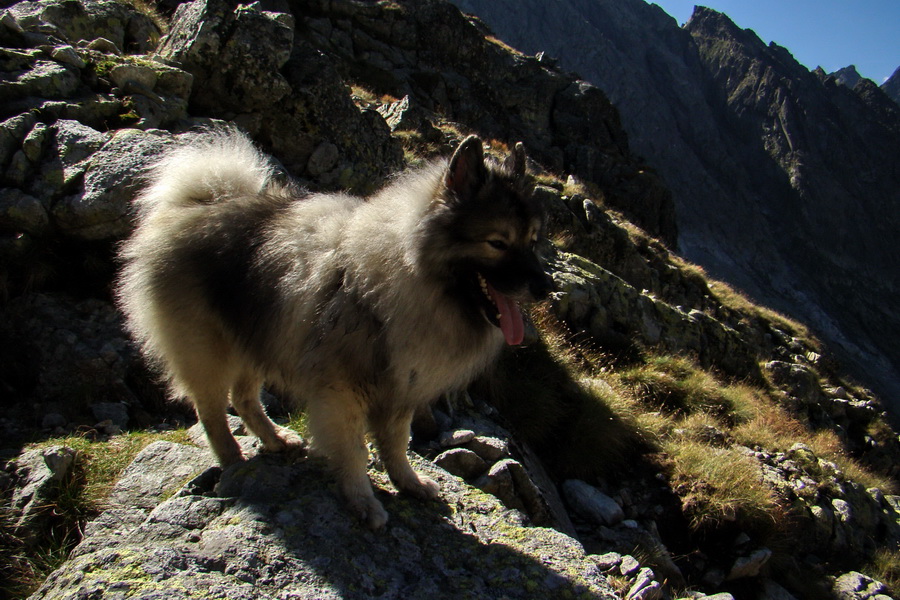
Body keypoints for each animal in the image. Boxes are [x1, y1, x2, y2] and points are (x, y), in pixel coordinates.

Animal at [116, 129, 552, 528]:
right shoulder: (342, 392)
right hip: (209, 349)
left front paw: (409, 483)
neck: (401, 278)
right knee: (211, 411)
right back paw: (232, 459)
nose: (545, 288)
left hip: (258, 335)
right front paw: (362, 501)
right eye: (497, 243)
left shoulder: (400, 391)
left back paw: (275, 439)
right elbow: (355, 450)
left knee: (243, 398)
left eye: (532, 241)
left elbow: (397, 445)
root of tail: (199, 202)